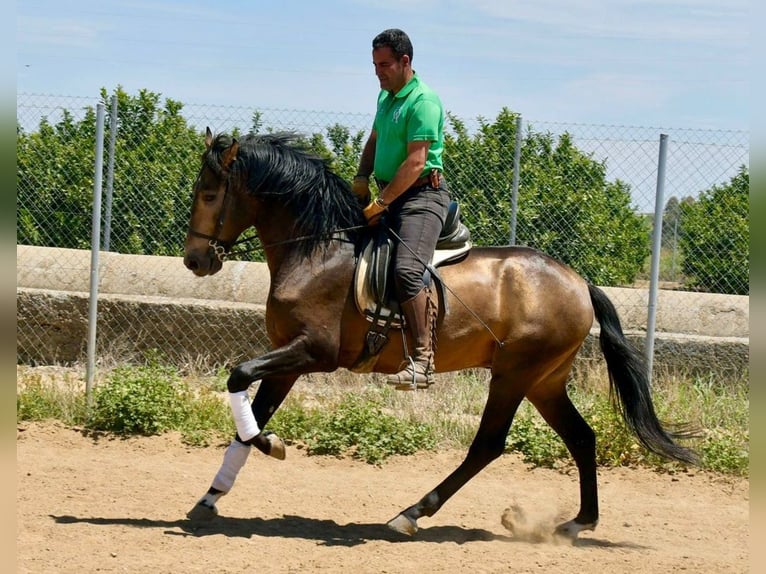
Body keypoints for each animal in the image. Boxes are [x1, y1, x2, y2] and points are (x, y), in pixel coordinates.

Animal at [183, 127, 700, 540]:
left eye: (208, 195)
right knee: (582, 437)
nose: (195, 260)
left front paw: (271, 445)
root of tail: (578, 282)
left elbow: (239, 380)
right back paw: (576, 523)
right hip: (544, 381)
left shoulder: (314, 352)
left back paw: (412, 513)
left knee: (489, 445)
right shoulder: (287, 357)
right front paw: (210, 496)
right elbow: (251, 416)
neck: (318, 251)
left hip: (515, 374)